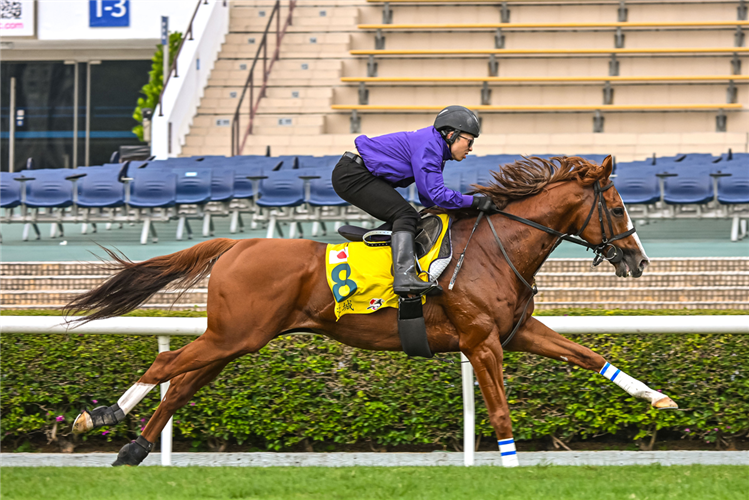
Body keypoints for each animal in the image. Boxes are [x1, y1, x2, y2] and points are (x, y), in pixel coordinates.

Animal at [68, 154, 676, 466]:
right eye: (616, 206)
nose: (639, 261)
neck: (495, 247)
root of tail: (235, 245)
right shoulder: (480, 342)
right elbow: (501, 411)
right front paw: (510, 468)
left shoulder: (516, 331)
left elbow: (587, 355)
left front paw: (658, 397)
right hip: (234, 335)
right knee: (164, 366)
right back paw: (99, 416)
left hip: (236, 340)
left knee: (180, 385)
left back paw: (135, 448)